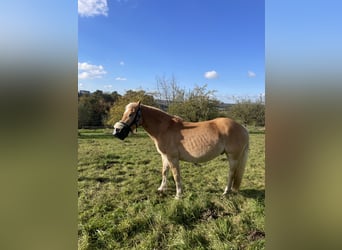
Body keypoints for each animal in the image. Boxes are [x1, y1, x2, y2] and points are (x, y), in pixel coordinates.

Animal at [113, 100, 250, 198]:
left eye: (131, 114)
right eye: (124, 113)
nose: (117, 132)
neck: (165, 128)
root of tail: (242, 128)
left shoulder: (173, 158)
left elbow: (176, 175)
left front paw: (178, 195)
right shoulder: (165, 156)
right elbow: (164, 172)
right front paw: (161, 189)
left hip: (233, 157)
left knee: (231, 173)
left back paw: (226, 192)